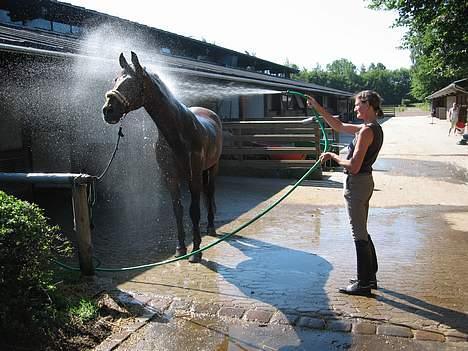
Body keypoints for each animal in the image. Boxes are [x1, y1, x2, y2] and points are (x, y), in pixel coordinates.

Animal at [101, 51, 222, 262]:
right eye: (115, 80)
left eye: (132, 83)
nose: (108, 111)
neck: (178, 133)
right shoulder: (170, 177)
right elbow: (177, 210)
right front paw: (180, 249)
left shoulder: (194, 178)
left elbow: (194, 211)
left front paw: (196, 252)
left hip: (211, 169)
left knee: (209, 193)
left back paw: (211, 227)